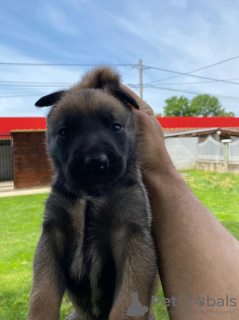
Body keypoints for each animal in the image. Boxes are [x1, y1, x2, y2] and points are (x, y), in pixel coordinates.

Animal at [27, 66, 157, 318]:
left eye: (115, 127)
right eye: (64, 132)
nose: (96, 161)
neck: (91, 194)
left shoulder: (132, 236)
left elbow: (127, 302)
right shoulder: (52, 236)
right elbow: (42, 294)